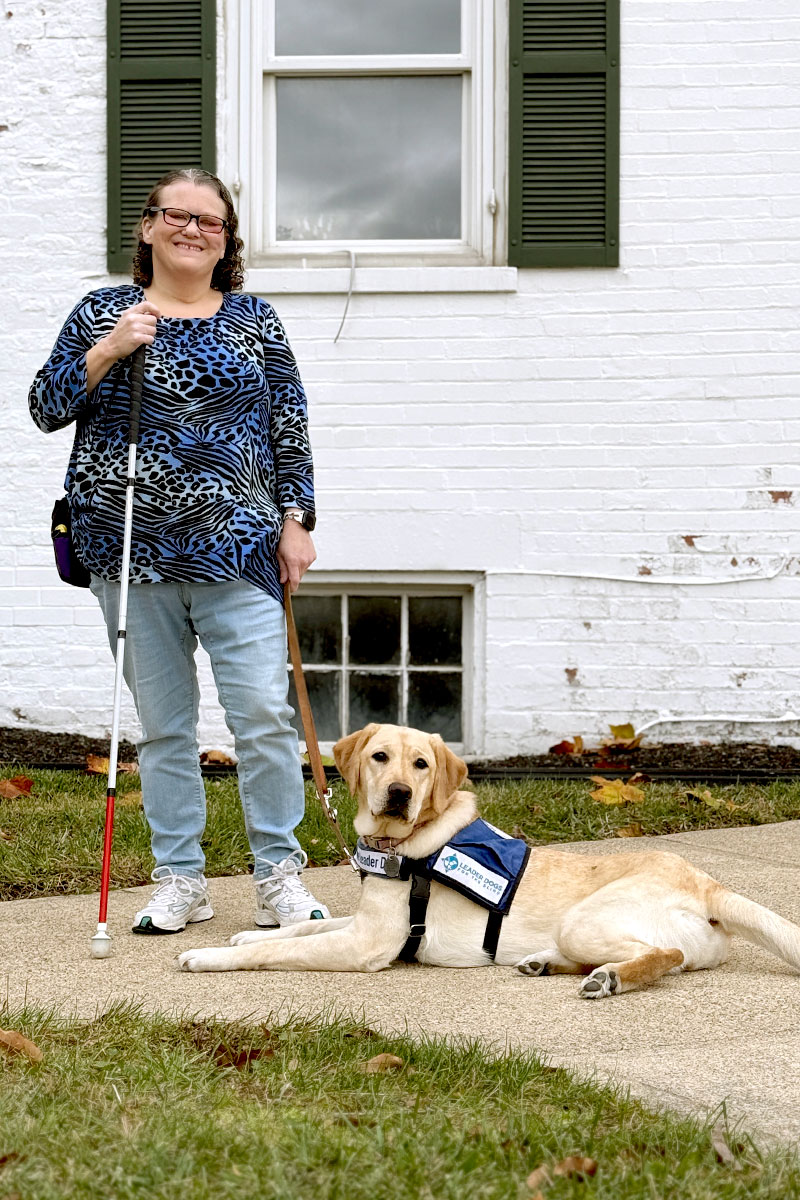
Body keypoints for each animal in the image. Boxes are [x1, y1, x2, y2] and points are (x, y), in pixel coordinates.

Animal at [178, 720, 800, 993]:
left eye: (421, 764)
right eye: (380, 757)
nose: (399, 793)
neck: (404, 844)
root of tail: (706, 881)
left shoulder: (365, 945)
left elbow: (278, 951)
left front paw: (209, 957)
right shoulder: (361, 920)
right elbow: (301, 929)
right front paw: (247, 935)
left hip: (587, 919)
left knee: (665, 954)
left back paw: (608, 979)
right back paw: (545, 963)